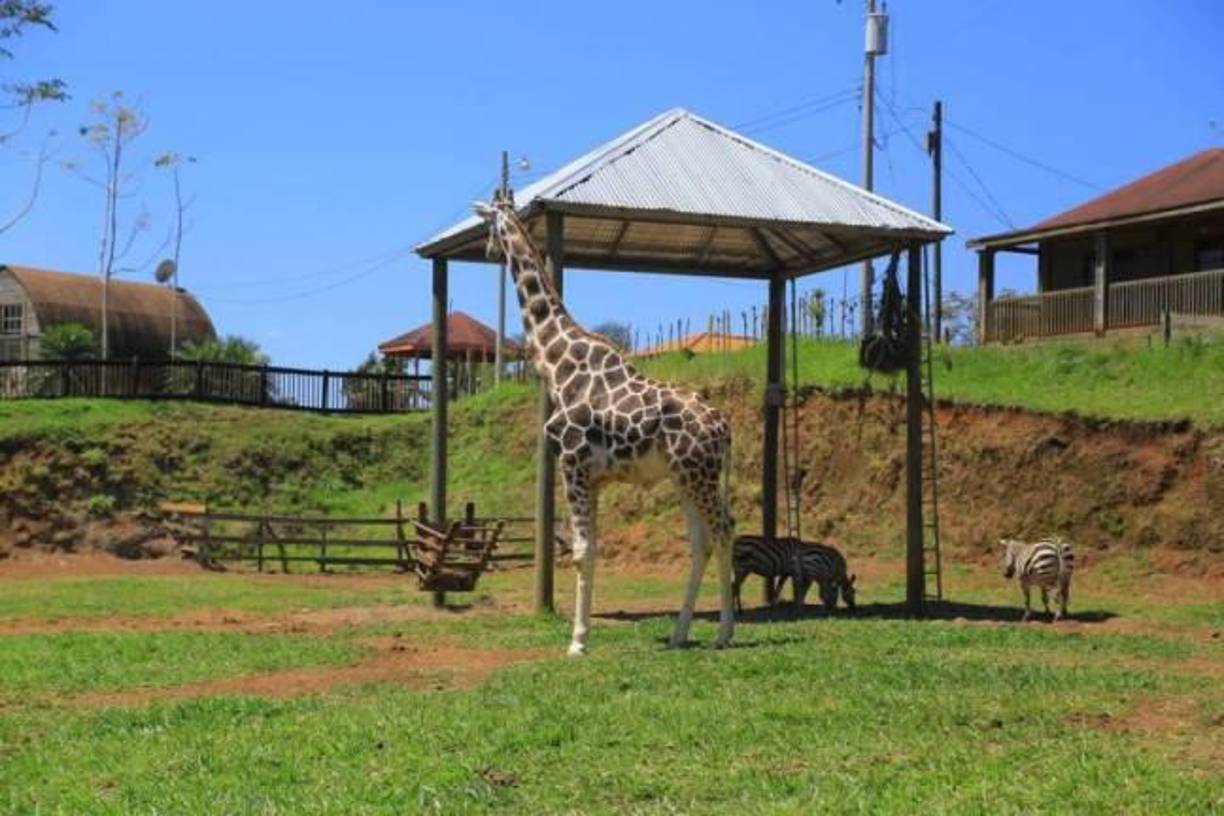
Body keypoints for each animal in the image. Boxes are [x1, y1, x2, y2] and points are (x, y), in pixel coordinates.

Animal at [474, 193, 736, 655]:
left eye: (486, 225)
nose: (488, 251)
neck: (555, 363)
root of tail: (723, 425)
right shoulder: (593, 477)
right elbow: (590, 549)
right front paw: (584, 634)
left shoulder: (572, 463)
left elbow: (580, 552)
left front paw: (577, 642)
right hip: (685, 478)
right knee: (702, 542)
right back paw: (680, 633)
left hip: (699, 475)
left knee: (723, 532)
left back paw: (724, 633)